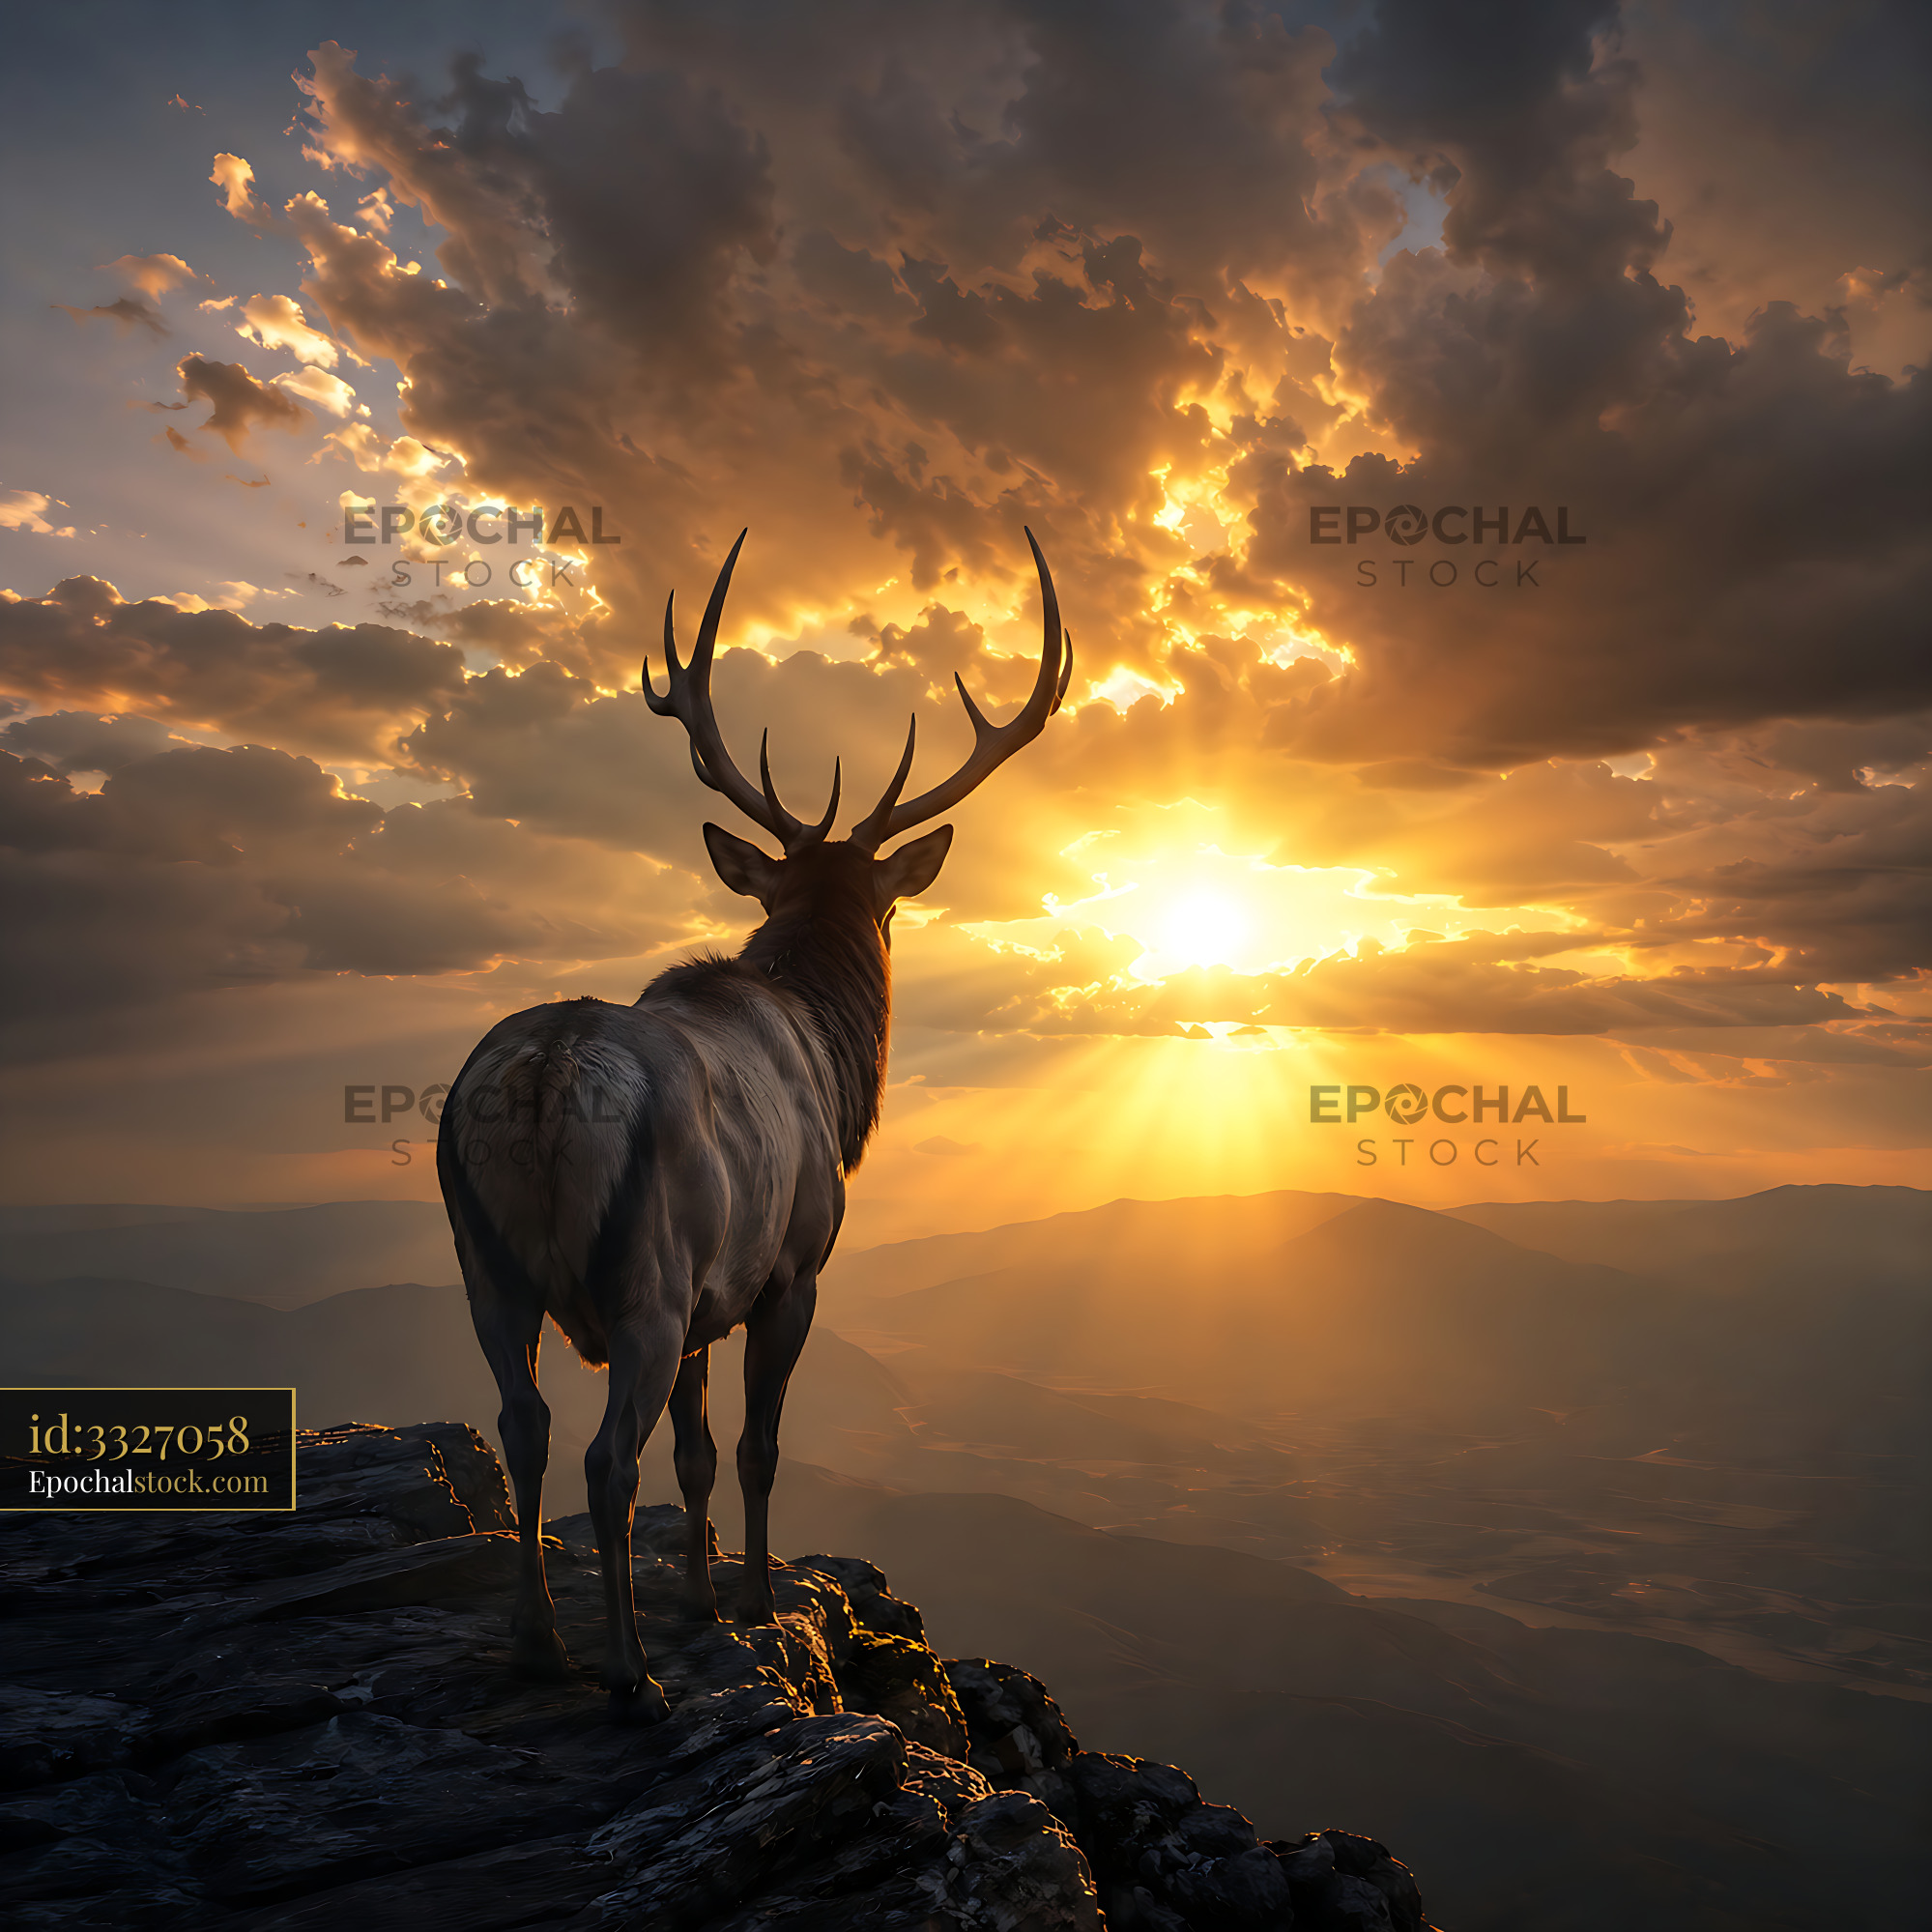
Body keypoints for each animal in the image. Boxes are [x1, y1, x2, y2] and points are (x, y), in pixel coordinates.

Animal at [436, 528, 1071, 1721]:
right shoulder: (790, 1269)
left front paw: (701, 1596)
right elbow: (756, 1444)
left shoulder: (703, 1302)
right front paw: (762, 1596)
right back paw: (629, 1673)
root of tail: (543, 1076)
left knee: (525, 1426)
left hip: (484, 1262)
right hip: (641, 1276)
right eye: (890, 902)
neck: (832, 1057)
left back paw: (540, 1642)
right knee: (604, 1458)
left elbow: (696, 1452)